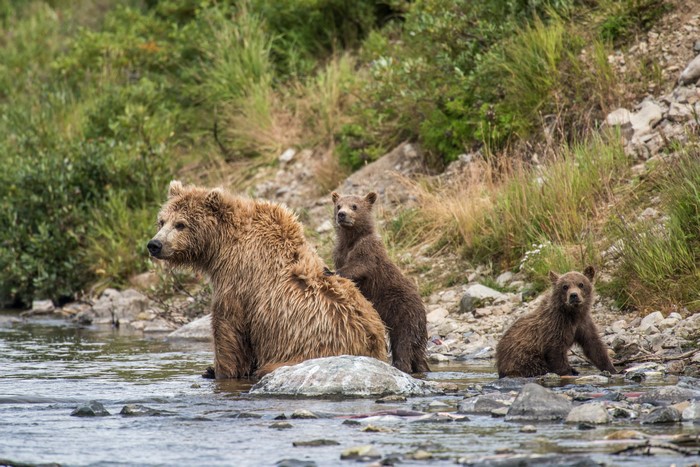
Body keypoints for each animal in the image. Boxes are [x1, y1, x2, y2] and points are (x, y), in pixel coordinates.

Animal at [147, 181, 388, 379]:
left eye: (180, 224)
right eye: (162, 221)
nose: (154, 244)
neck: (221, 246)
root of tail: (374, 346)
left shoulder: (237, 277)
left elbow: (227, 327)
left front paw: (219, 371)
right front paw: (212, 369)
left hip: (315, 345)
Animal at [330, 191, 430, 374]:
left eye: (354, 206)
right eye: (338, 205)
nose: (342, 215)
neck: (351, 239)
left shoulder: (368, 250)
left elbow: (359, 266)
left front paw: (330, 271)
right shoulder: (339, 252)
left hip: (404, 312)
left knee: (404, 343)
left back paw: (401, 365)